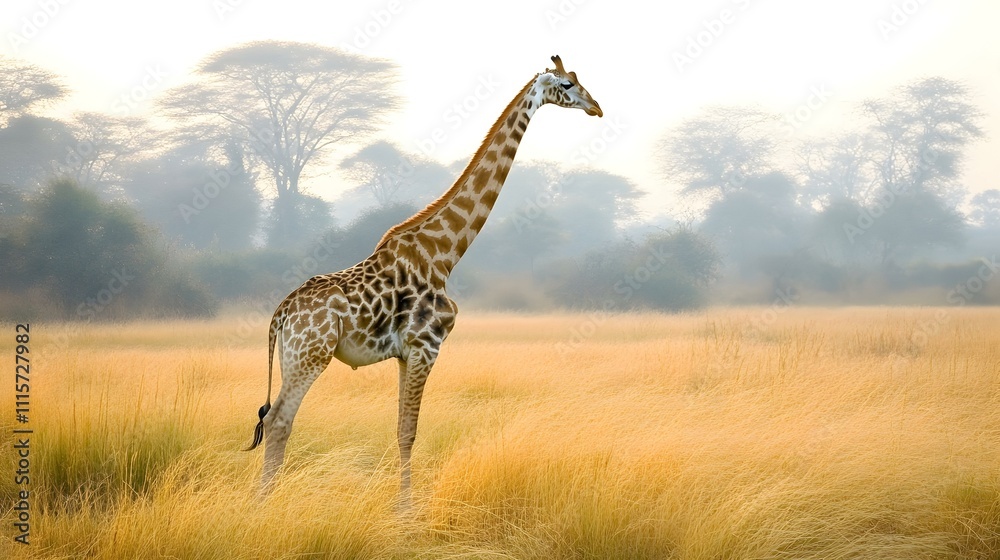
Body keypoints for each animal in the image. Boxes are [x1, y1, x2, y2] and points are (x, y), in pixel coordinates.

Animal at [246, 55, 602, 506]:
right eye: (567, 84)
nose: (597, 108)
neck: (444, 254)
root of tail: (280, 314)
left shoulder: (404, 354)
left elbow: (401, 428)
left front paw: (403, 507)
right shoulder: (426, 347)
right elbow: (408, 433)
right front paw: (406, 511)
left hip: (295, 356)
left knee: (276, 419)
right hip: (311, 354)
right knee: (278, 420)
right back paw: (263, 505)